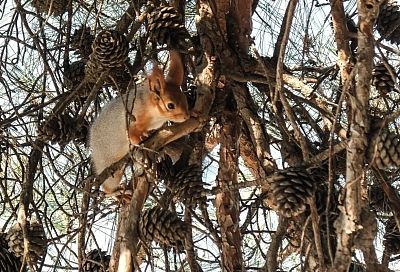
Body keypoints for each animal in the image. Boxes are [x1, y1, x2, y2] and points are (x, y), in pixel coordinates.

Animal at [90, 50, 190, 196]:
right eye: (170, 105)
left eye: (184, 98)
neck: (155, 116)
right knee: (107, 189)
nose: (187, 116)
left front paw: (148, 134)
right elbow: (131, 134)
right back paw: (119, 192)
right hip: (108, 165)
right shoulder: (130, 119)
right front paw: (139, 140)